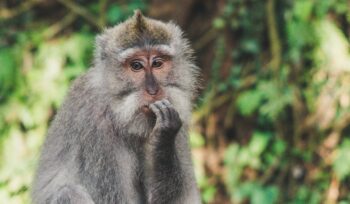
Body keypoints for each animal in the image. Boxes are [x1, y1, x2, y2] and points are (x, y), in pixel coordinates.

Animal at [32, 9, 202, 204]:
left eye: (158, 63)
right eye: (136, 65)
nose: (153, 90)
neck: (118, 113)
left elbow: (182, 198)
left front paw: (163, 138)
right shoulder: (96, 127)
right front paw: (164, 134)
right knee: (68, 193)